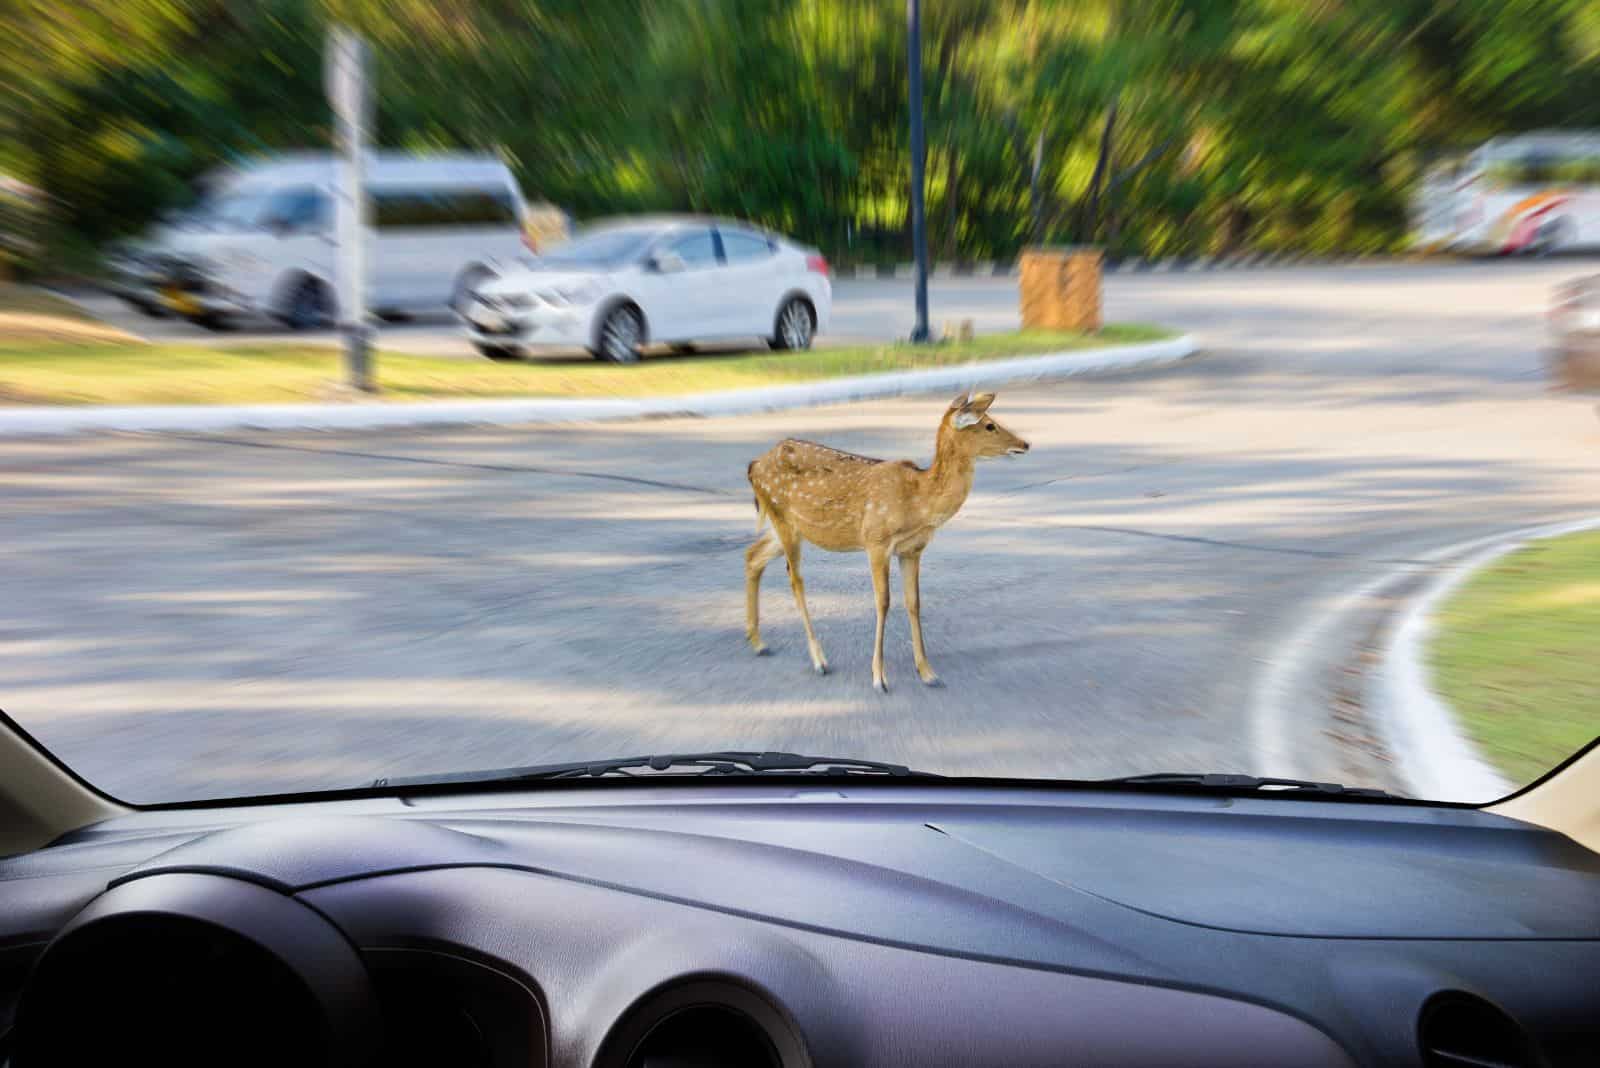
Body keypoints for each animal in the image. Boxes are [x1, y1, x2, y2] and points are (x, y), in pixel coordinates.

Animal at [742, 391, 1030, 693]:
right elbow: (884, 602)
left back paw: (758, 642)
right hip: (782, 517)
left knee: (753, 555)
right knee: (795, 579)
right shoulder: (876, 540)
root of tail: (754, 465)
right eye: (989, 425)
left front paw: (927, 672)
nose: (1025, 443)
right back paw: (819, 660)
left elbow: (914, 602)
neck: (918, 501)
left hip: (787, 526)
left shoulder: (912, 550)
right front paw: (879, 678)